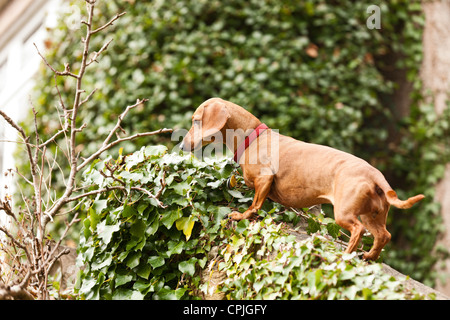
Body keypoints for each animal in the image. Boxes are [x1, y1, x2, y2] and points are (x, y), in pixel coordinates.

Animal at [180, 97, 426, 260]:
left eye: (196, 121)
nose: (181, 146)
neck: (254, 138)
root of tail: (374, 173)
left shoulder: (264, 180)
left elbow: (255, 204)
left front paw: (241, 215)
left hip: (345, 213)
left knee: (358, 231)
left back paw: (344, 256)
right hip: (371, 215)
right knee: (383, 235)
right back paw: (368, 257)